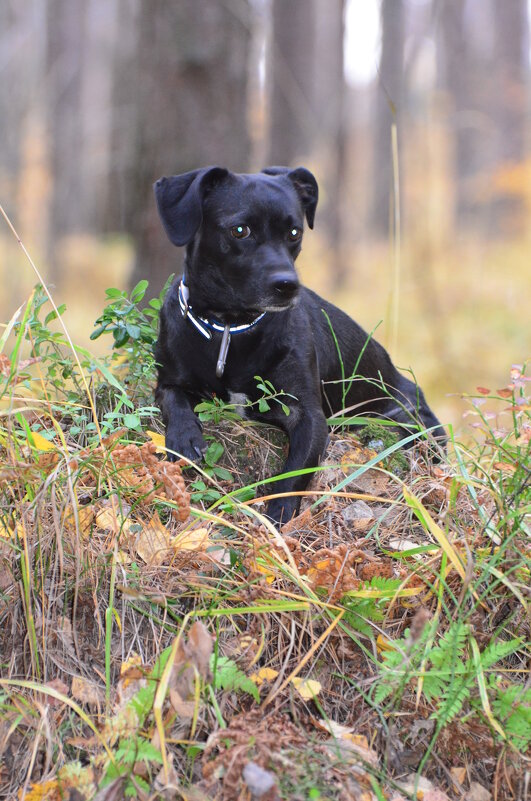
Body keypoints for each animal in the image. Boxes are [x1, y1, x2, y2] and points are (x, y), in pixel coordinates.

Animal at [154, 166, 444, 520]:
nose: (287, 285)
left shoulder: (308, 416)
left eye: (294, 233)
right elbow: (175, 400)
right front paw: (184, 438)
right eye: (240, 230)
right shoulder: (168, 379)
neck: (231, 326)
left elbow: (294, 474)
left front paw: (276, 518)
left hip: (404, 418)